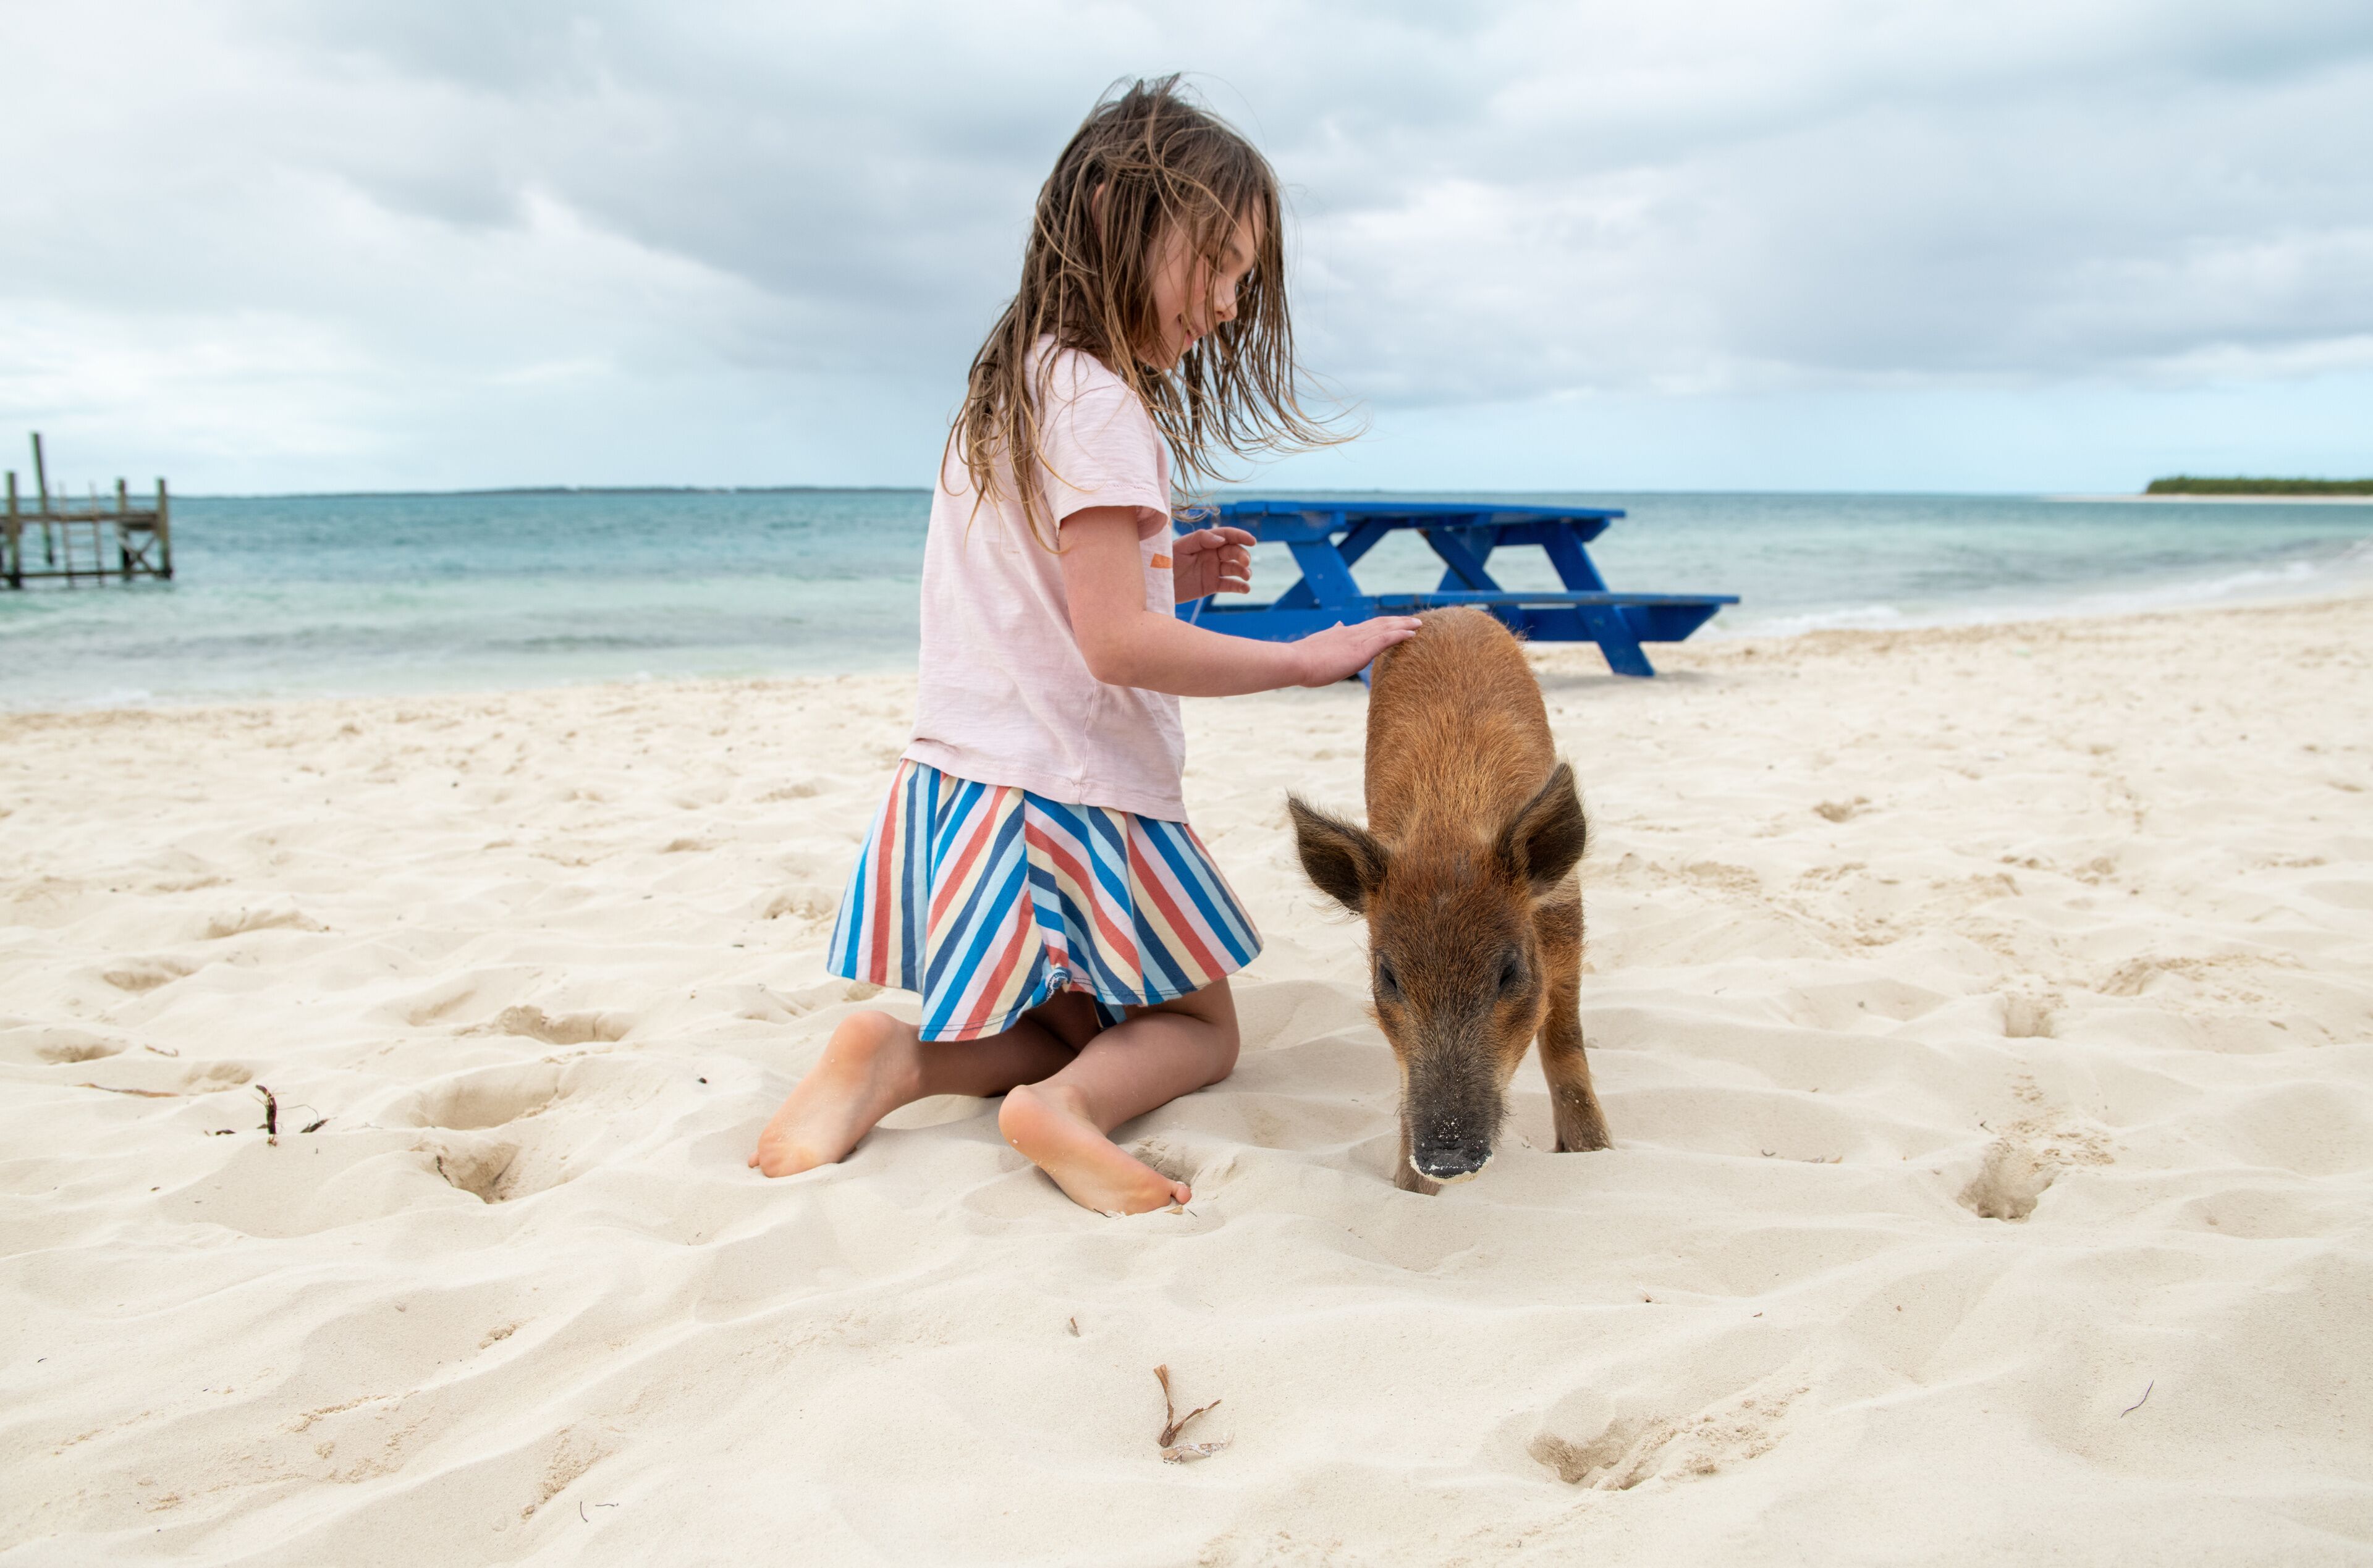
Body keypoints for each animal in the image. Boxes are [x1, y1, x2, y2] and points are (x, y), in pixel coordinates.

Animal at [1288, 608, 1611, 1193]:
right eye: (1388, 977)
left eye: (1510, 972)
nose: (1446, 1159)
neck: (1449, 827)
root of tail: (1450, 611)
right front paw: (1408, 1190)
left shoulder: (1566, 918)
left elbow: (1564, 1037)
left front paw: (1594, 1151)